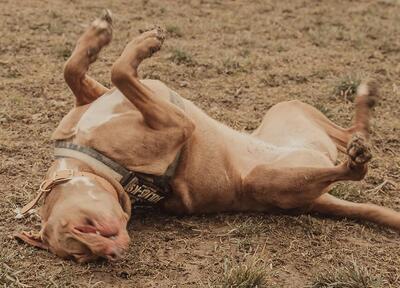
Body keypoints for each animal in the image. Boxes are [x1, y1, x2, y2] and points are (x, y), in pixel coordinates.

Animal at [15, 11, 400, 264]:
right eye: (82, 257)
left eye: (86, 228)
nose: (115, 254)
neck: (88, 160)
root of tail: (318, 199)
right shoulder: (177, 124)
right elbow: (119, 70)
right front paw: (139, 43)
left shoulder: (98, 97)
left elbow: (79, 69)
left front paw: (102, 35)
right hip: (268, 178)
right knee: (352, 166)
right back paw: (356, 158)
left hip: (290, 109)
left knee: (353, 131)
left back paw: (365, 101)